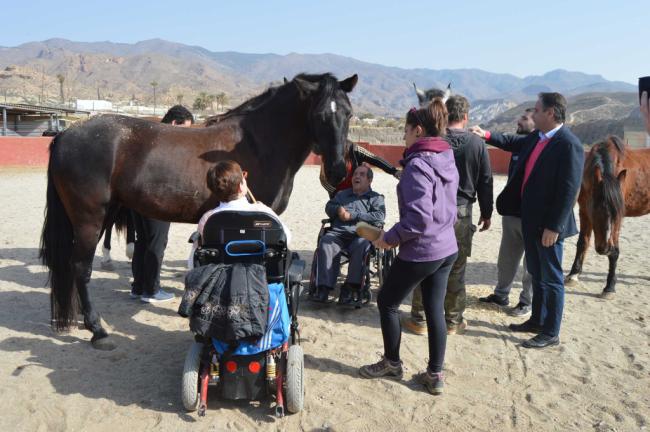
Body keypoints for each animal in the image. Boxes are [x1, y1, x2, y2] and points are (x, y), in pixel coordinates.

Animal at [39, 72, 360, 350]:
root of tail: (66, 135)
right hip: (89, 219)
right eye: (319, 115)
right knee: (80, 267)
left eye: (348, 114)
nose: (337, 170)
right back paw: (97, 330)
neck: (258, 143)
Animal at [560, 137, 648, 298]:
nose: (604, 248)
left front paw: (609, 287)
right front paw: (573, 274)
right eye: (596, 209)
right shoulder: (584, 211)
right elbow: (583, 242)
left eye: (618, 213)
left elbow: (615, 252)